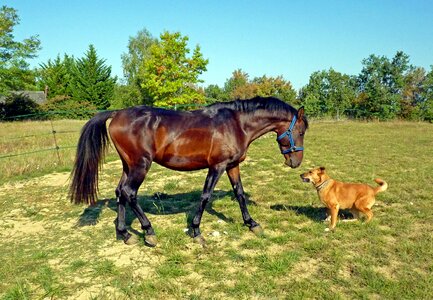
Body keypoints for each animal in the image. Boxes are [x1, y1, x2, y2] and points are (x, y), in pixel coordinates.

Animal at [69, 96, 308, 246]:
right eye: (301, 131)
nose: (295, 162)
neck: (237, 124)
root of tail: (118, 113)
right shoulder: (217, 166)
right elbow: (205, 196)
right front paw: (196, 232)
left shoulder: (232, 166)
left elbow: (239, 193)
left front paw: (252, 224)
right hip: (140, 165)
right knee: (129, 193)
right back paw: (149, 232)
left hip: (128, 166)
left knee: (120, 193)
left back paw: (125, 234)